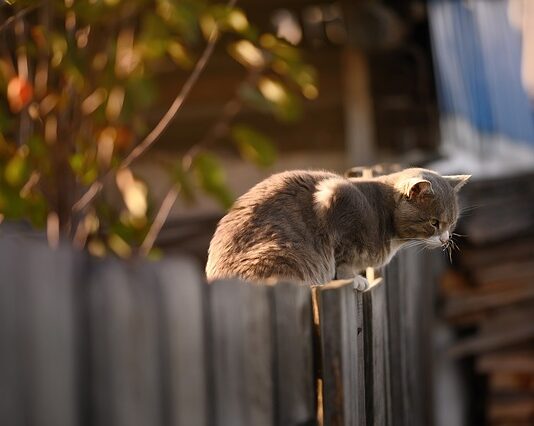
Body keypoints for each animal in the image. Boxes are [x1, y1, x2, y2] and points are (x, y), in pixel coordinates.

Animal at [207, 166, 472, 290]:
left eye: (451, 223)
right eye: (434, 223)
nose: (445, 239)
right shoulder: (334, 196)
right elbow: (342, 260)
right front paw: (354, 279)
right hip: (279, 252)